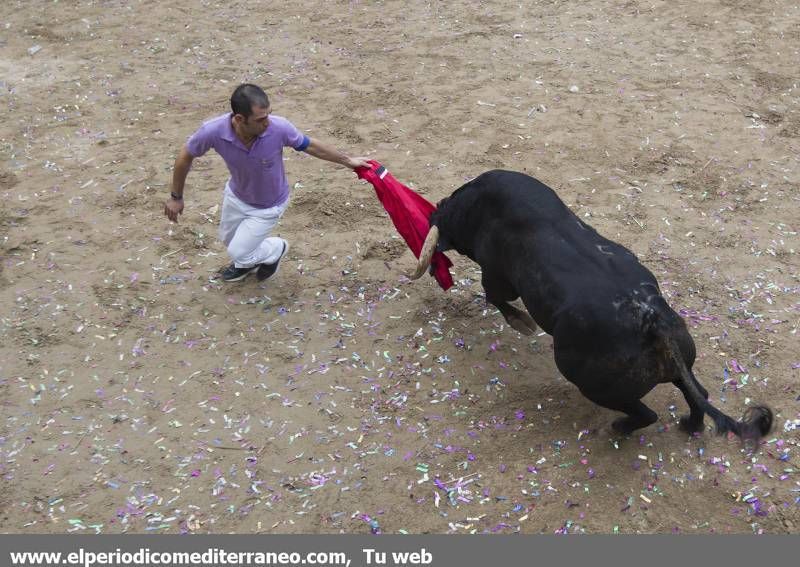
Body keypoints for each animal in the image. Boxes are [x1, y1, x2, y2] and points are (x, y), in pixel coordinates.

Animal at [410, 170, 772, 444]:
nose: (435, 209)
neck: (479, 205)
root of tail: (654, 324)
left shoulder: (496, 275)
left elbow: (495, 298)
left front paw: (522, 323)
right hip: (681, 360)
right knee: (699, 393)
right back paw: (690, 425)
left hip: (591, 384)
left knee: (646, 413)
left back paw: (618, 429)